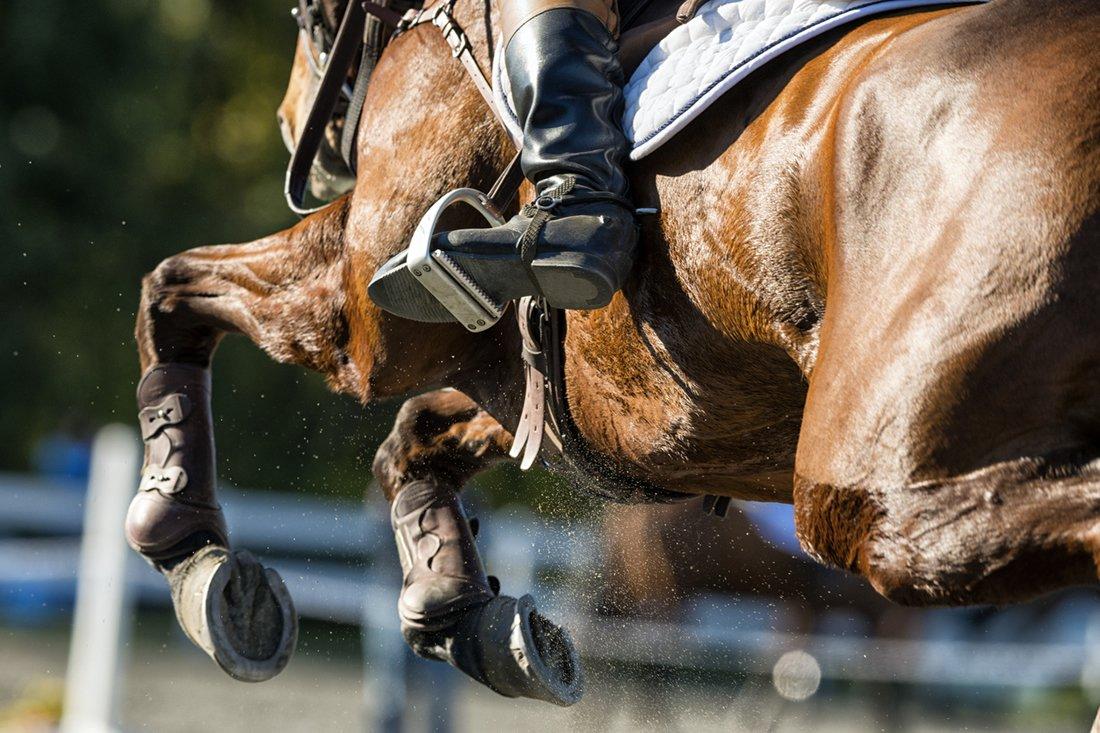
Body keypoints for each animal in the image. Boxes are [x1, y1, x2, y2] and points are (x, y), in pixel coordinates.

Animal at [128, 0, 1100, 706]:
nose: (291, 115)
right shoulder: (603, 407)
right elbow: (414, 442)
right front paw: (456, 607)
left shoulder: (359, 317)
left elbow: (171, 287)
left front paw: (185, 540)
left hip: (870, 485)